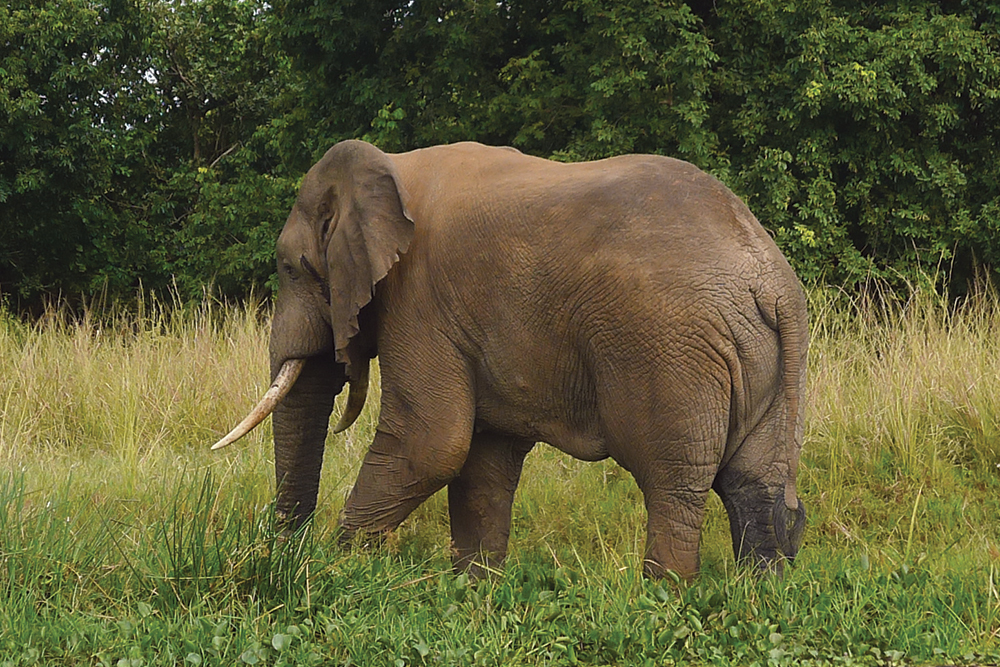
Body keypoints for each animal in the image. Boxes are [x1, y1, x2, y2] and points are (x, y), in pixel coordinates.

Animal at [215, 140, 808, 580]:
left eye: (289, 268)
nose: (284, 552)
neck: (392, 168)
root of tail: (772, 281)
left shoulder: (420, 299)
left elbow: (431, 443)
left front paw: (338, 566)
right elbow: (483, 457)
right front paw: (473, 590)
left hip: (670, 351)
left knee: (673, 482)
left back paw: (662, 599)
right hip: (764, 359)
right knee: (754, 486)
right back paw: (760, 596)